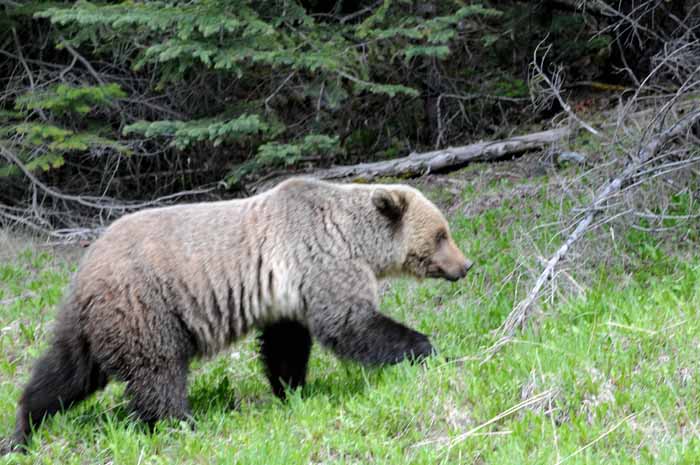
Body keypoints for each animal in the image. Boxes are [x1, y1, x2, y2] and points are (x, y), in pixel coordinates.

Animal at [1, 176, 470, 452]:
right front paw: (427, 348)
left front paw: (293, 389)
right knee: (157, 374)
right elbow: (350, 322)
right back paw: (181, 423)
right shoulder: (320, 260)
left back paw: (23, 428)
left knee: (65, 372)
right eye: (442, 234)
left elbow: (285, 345)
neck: (353, 238)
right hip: (145, 306)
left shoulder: (288, 293)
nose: (465, 266)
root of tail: (84, 269)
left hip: (95, 322)